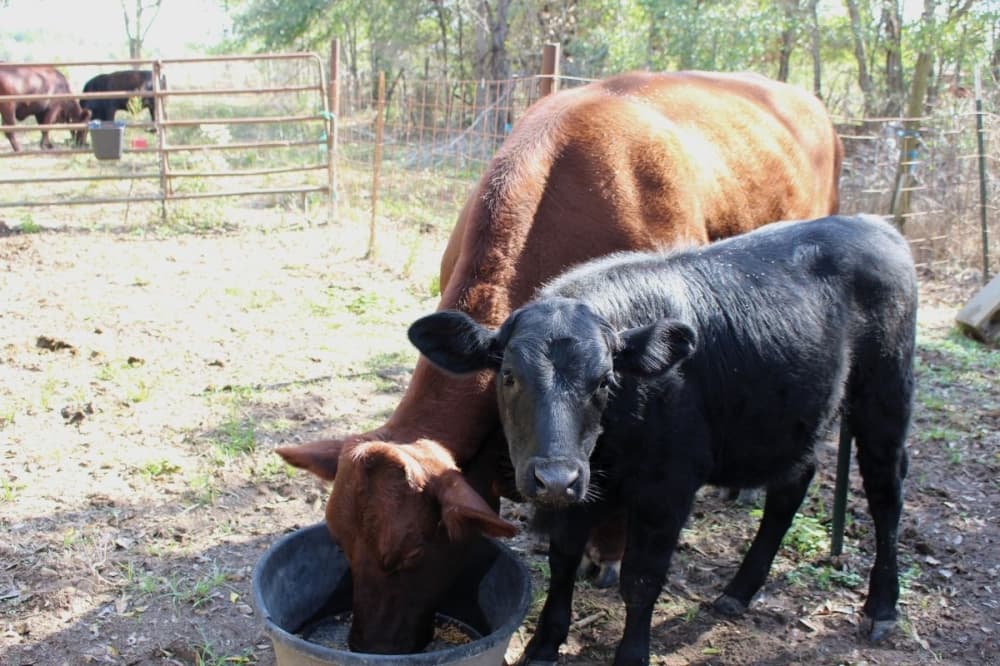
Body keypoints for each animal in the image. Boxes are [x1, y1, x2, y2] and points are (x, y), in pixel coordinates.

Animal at [408, 214, 917, 666]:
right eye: (509, 376)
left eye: (604, 381)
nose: (553, 478)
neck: (611, 447)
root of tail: (874, 223)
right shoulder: (582, 488)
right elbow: (562, 559)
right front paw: (544, 645)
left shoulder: (668, 489)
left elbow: (641, 578)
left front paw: (632, 655)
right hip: (792, 420)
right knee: (793, 484)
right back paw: (739, 591)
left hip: (885, 395)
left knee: (885, 493)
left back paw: (882, 606)